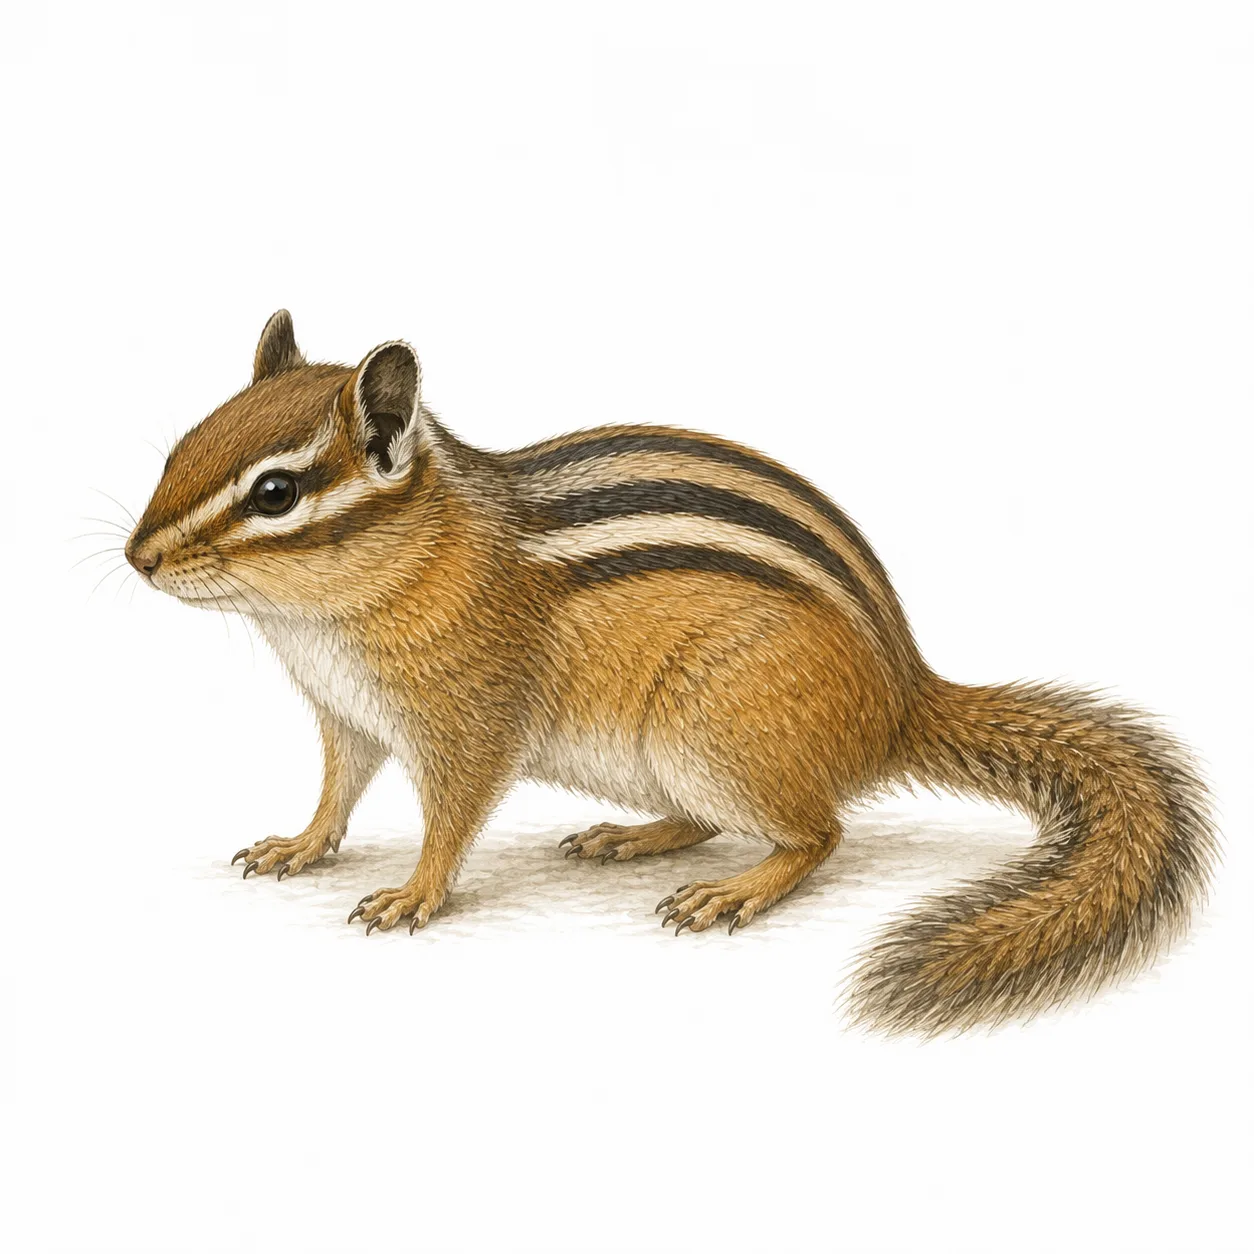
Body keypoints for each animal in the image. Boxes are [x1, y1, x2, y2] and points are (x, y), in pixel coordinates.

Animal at [125, 310, 1217, 1035]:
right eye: (182, 447)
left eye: (275, 493)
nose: (138, 558)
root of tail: (904, 700)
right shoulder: (347, 714)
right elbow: (335, 791)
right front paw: (298, 845)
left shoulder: (469, 717)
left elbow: (452, 816)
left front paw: (412, 894)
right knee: (714, 821)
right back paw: (631, 837)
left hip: (715, 730)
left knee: (818, 834)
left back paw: (734, 891)